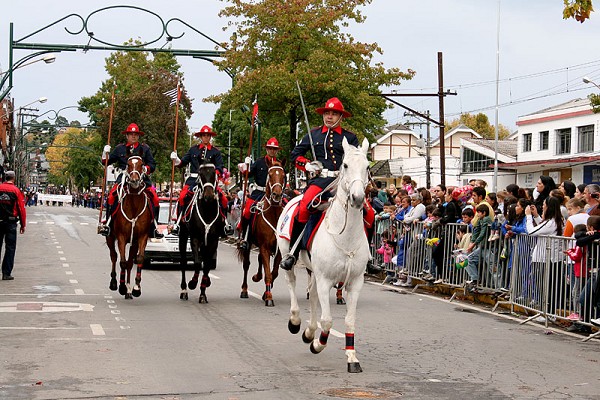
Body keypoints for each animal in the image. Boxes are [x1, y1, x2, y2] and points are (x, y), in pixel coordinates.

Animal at [106, 155, 153, 299]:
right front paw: (121, 286)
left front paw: (136, 288)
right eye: (128, 165)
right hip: (110, 238)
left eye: (142, 164)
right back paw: (115, 283)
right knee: (114, 256)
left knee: (130, 263)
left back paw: (128, 290)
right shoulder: (121, 237)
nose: (134, 180)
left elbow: (138, 259)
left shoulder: (142, 237)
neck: (133, 206)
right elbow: (121, 261)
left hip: (133, 243)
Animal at [178, 162, 225, 303]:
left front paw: (203, 292)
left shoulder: (213, 241)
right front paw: (193, 283)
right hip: (183, 236)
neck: (207, 210)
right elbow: (198, 263)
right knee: (183, 262)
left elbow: (207, 265)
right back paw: (184, 290)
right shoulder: (195, 238)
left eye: (214, 174)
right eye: (200, 174)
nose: (208, 196)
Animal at [237, 158, 286, 306]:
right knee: (246, 265)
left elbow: (273, 272)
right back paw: (244, 290)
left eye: (283, 175)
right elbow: (268, 273)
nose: (277, 194)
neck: (273, 214)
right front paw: (269, 297)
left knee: (259, 261)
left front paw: (265, 294)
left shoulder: (278, 250)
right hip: (248, 245)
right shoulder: (264, 247)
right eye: (270, 174)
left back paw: (257, 277)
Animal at [276, 137, 370, 373]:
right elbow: (327, 320)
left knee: (312, 296)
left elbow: (349, 320)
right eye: (345, 165)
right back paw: (295, 322)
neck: (345, 235)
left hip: (314, 272)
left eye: (367, 167)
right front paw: (318, 344)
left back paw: (309, 331)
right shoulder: (326, 279)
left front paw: (352, 358)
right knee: (291, 283)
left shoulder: (355, 283)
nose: (357, 198)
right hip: (287, 254)